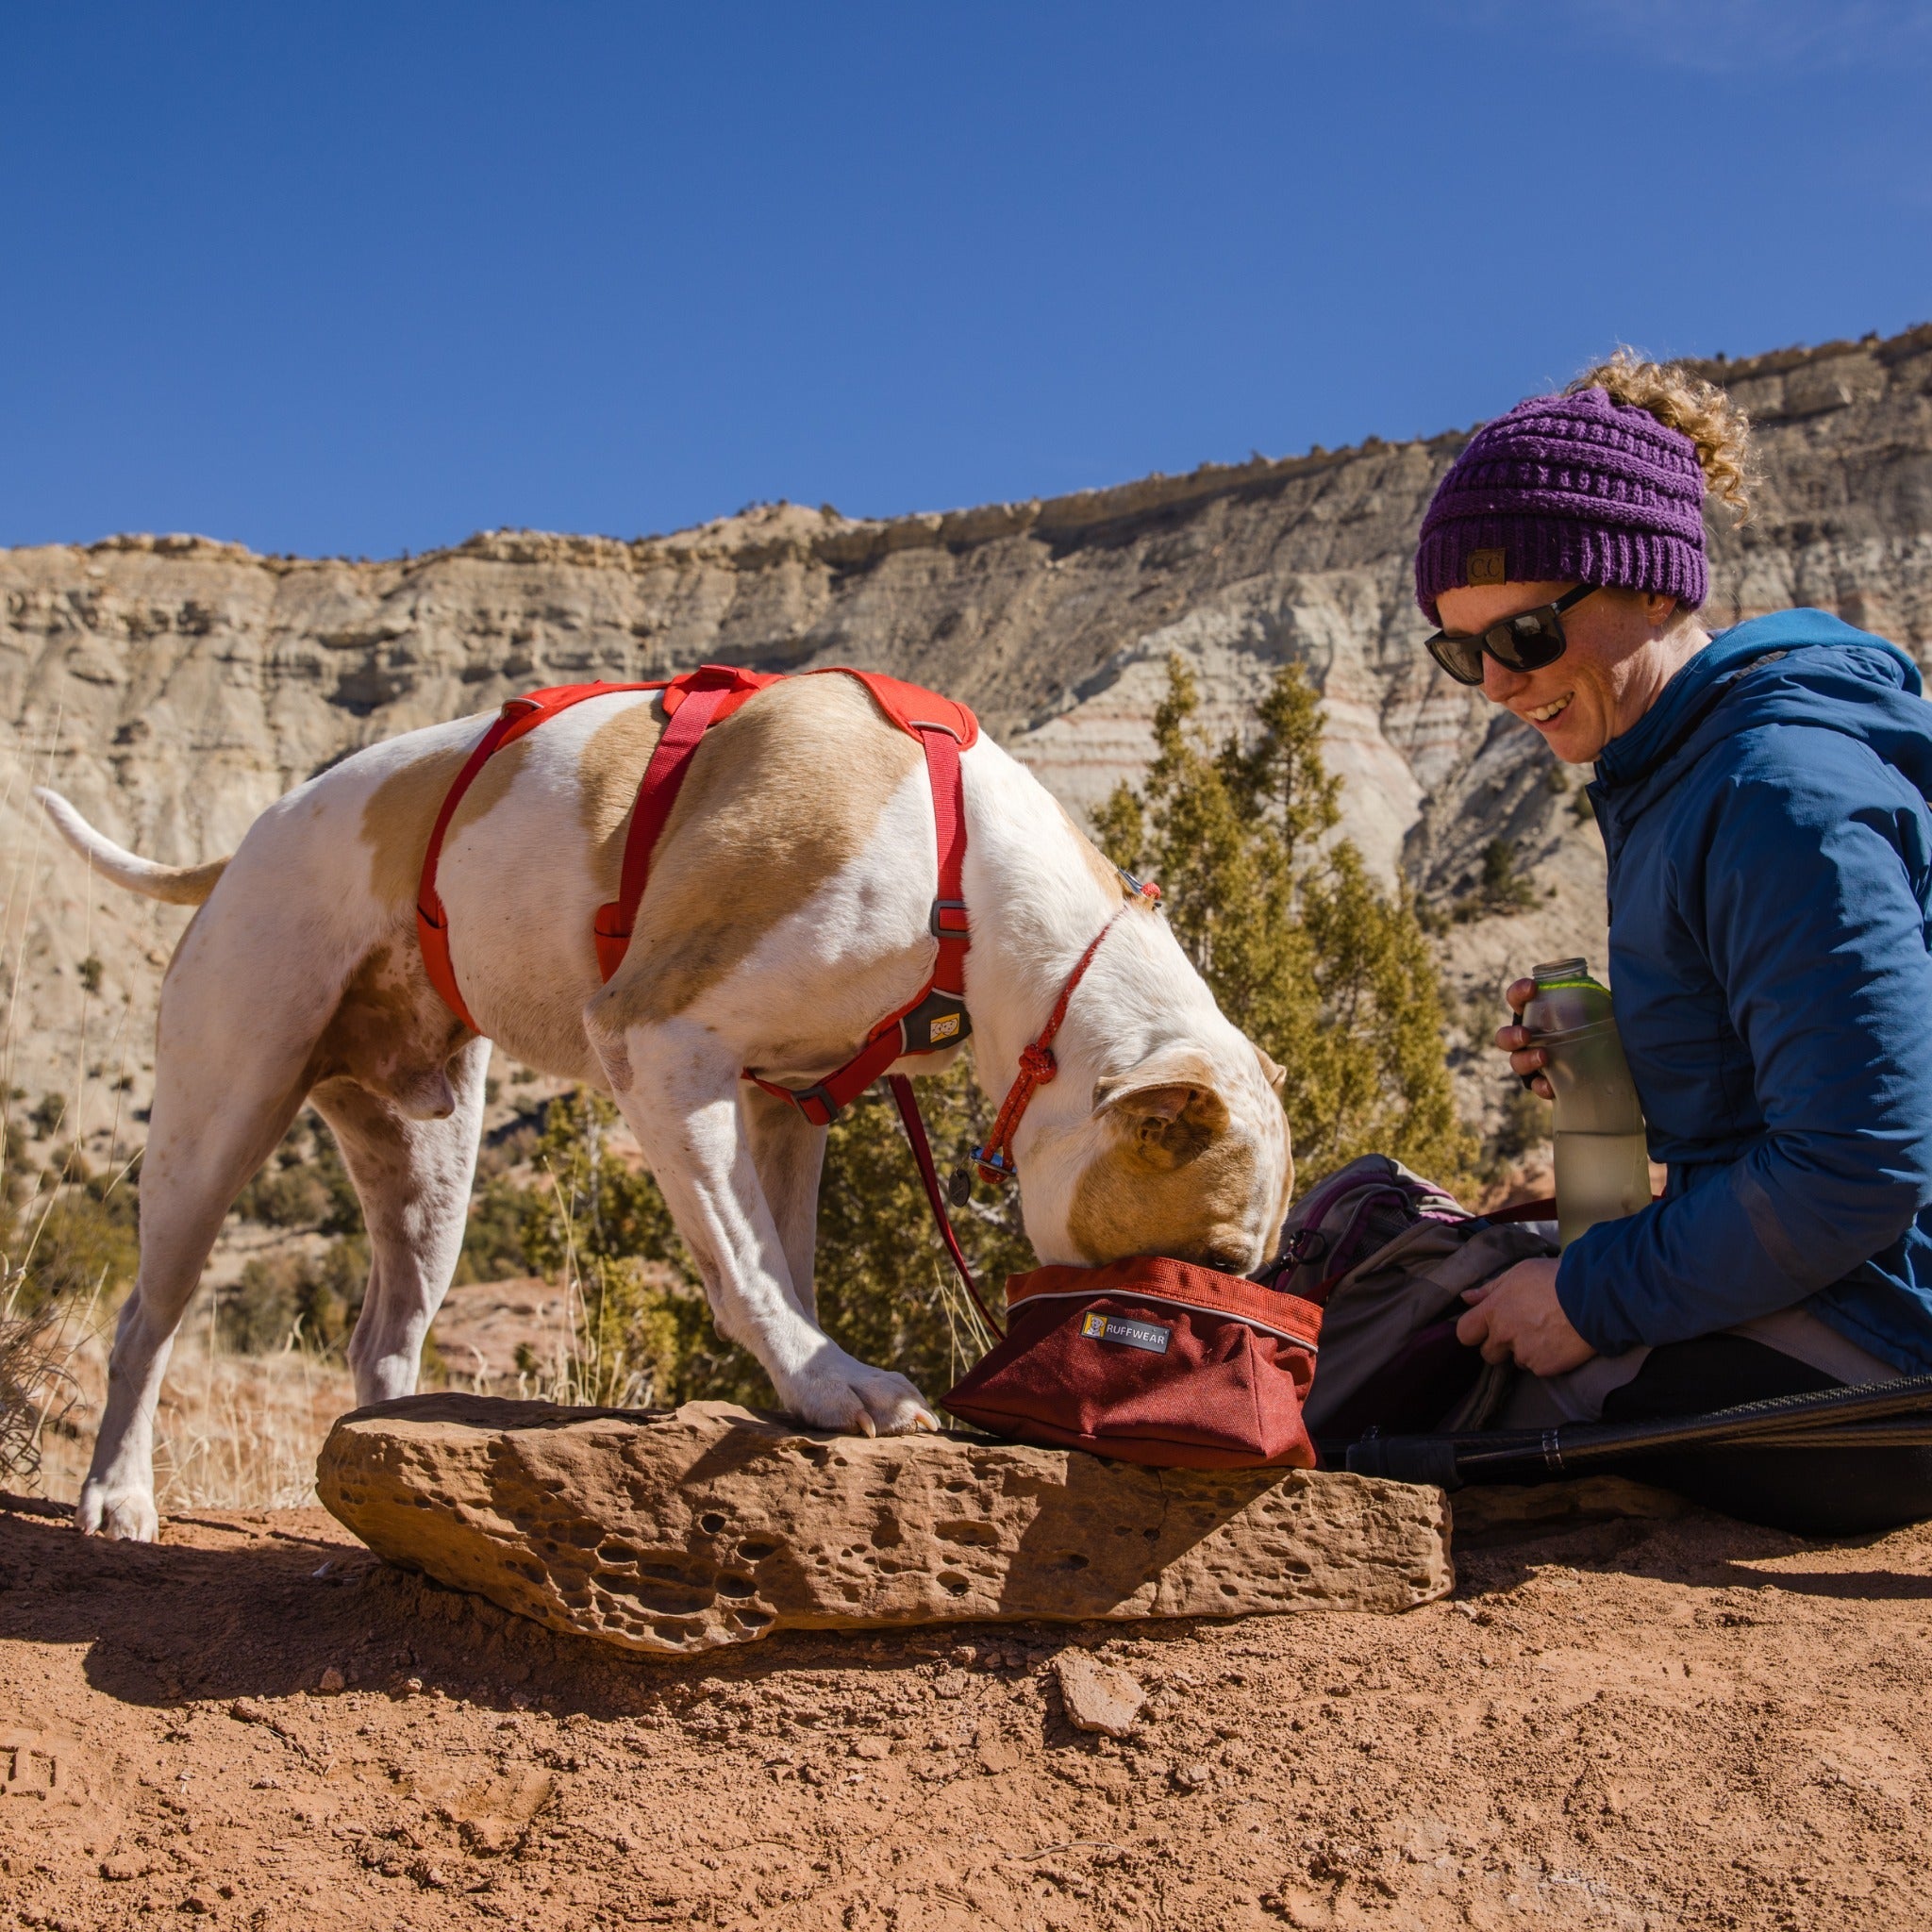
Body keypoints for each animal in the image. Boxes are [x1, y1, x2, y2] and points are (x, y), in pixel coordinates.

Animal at [37, 679, 1291, 1538]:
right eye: (1209, 1258)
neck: (969, 881)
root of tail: (243, 841)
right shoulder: (660, 1040)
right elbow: (743, 1259)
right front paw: (837, 1384)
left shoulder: (786, 1101)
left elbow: (785, 1254)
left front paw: (807, 1385)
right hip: (219, 1112)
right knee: (147, 1319)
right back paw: (117, 1493)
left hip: (426, 1164)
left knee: (381, 1334)